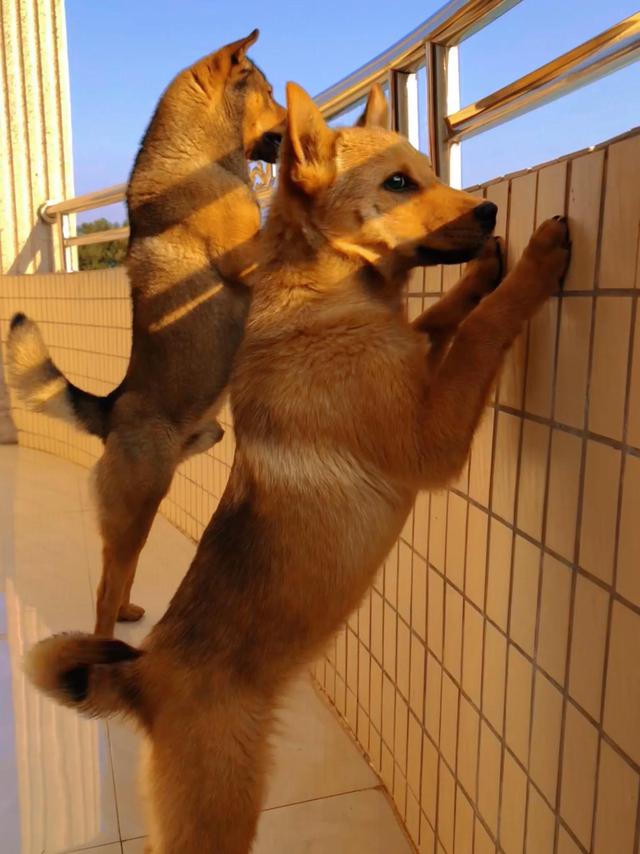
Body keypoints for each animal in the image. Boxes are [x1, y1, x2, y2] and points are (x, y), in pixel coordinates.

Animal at [7, 30, 286, 636]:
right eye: (271, 92)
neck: (202, 153)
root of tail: (111, 411)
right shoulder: (245, 259)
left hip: (158, 494)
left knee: (123, 573)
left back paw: (130, 612)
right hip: (137, 505)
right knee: (105, 587)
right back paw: (106, 638)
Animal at [26, 82, 570, 852]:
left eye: (427, 173)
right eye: (398, 184)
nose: (489, 211)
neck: (329, 291)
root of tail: (146, 680)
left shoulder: (411, 360)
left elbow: (441, 321)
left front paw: (482, 274)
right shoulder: (432, 437)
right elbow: (482, 332)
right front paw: (533, 265)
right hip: (220, 816)